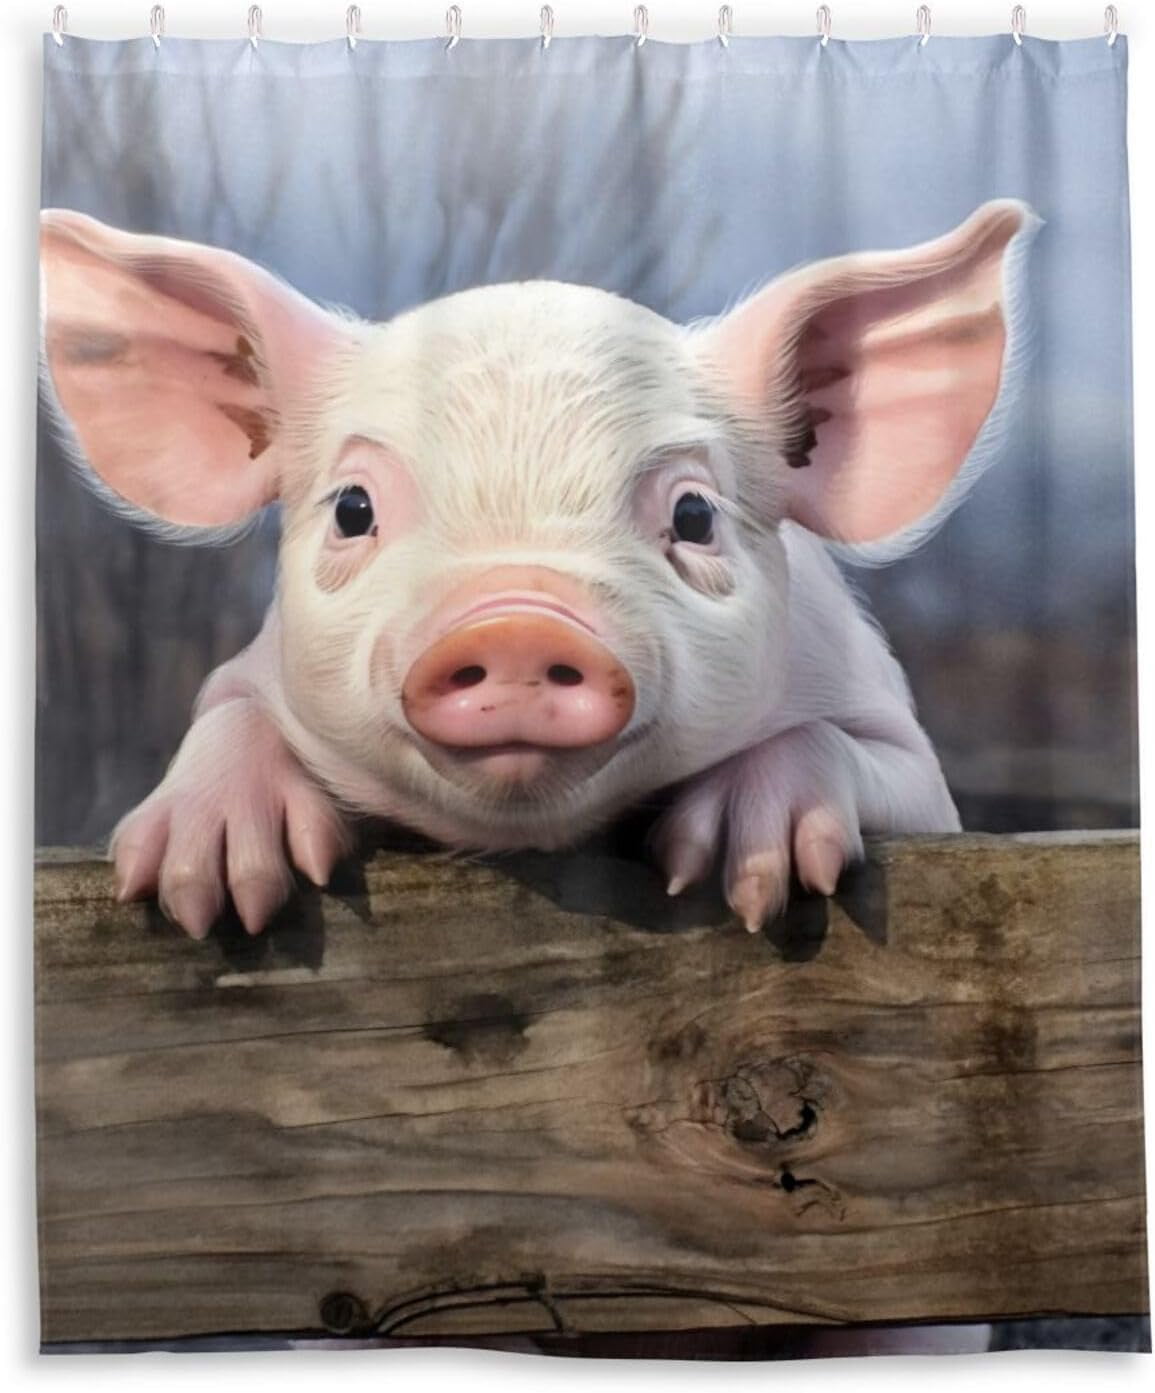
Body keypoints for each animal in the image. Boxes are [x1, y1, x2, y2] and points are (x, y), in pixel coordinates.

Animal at [38, 200, 1036, 940]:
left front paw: (748, 876)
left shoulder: (912, 762)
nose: (516, 619)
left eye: (694, 515)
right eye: (353, 508)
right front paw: (203, 887)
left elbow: (876, 766)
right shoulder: (251, 672)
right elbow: (228, 712)